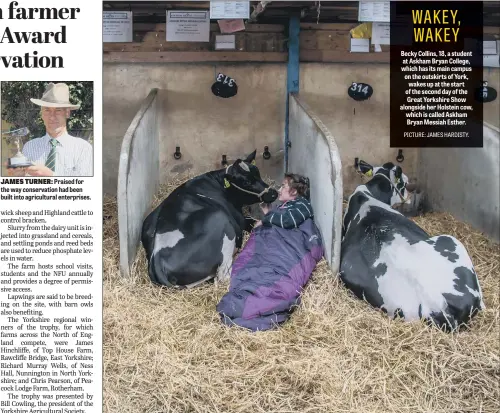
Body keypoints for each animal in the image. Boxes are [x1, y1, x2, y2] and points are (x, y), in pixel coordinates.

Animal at [142, 150, 278, 288]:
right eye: (246, 182)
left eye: (258, 173)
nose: (273, 193)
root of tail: (157, 260)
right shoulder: (240, 219)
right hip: (220, 220)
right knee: (223, 276)